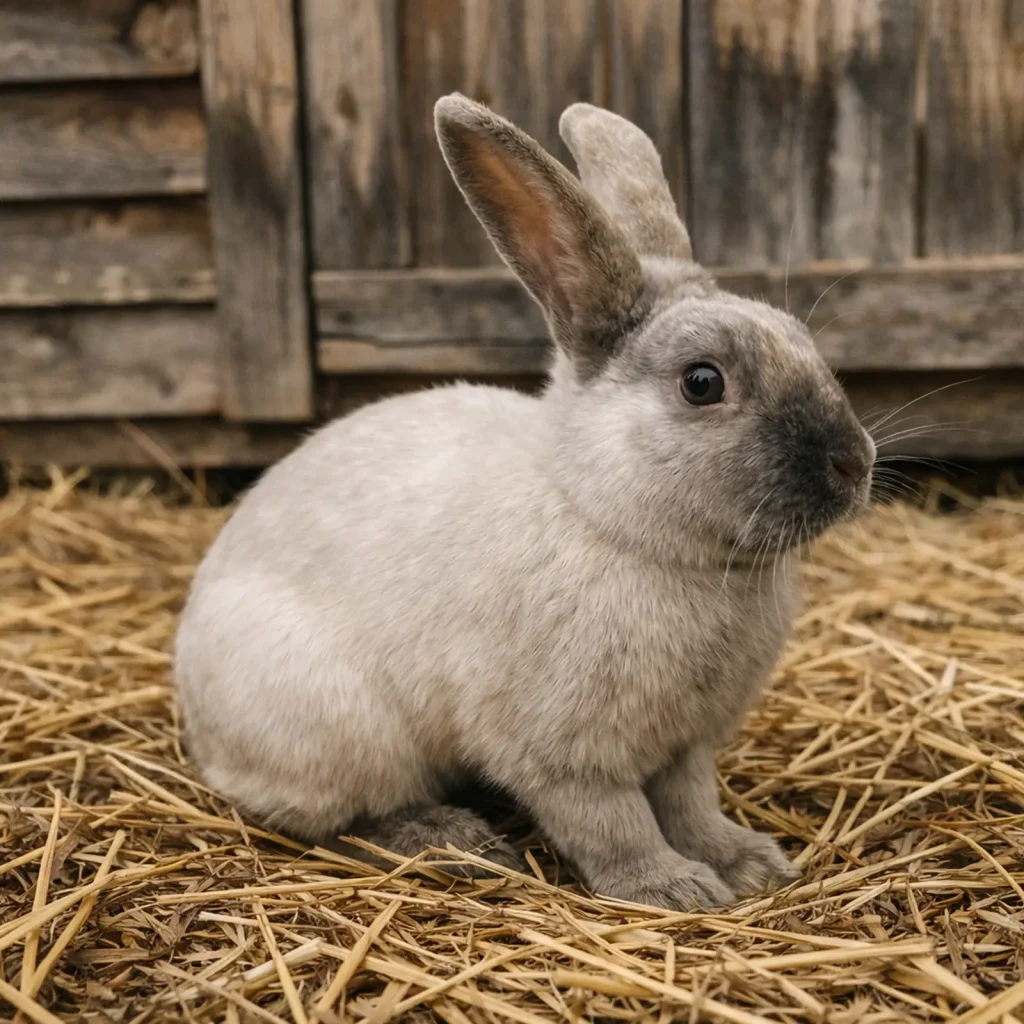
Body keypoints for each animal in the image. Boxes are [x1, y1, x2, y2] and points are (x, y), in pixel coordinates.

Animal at [174, 94, 875, 910]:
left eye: (804, 341)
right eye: (702, 383)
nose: (854, 463)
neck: (608, 519)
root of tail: (202, 726)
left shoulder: (685, 744)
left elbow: (691, 803)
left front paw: (747, 863)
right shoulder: (563, 754)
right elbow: (612, 822)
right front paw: (670, 889)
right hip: (337, 729)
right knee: (337, 820)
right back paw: (453, 843)